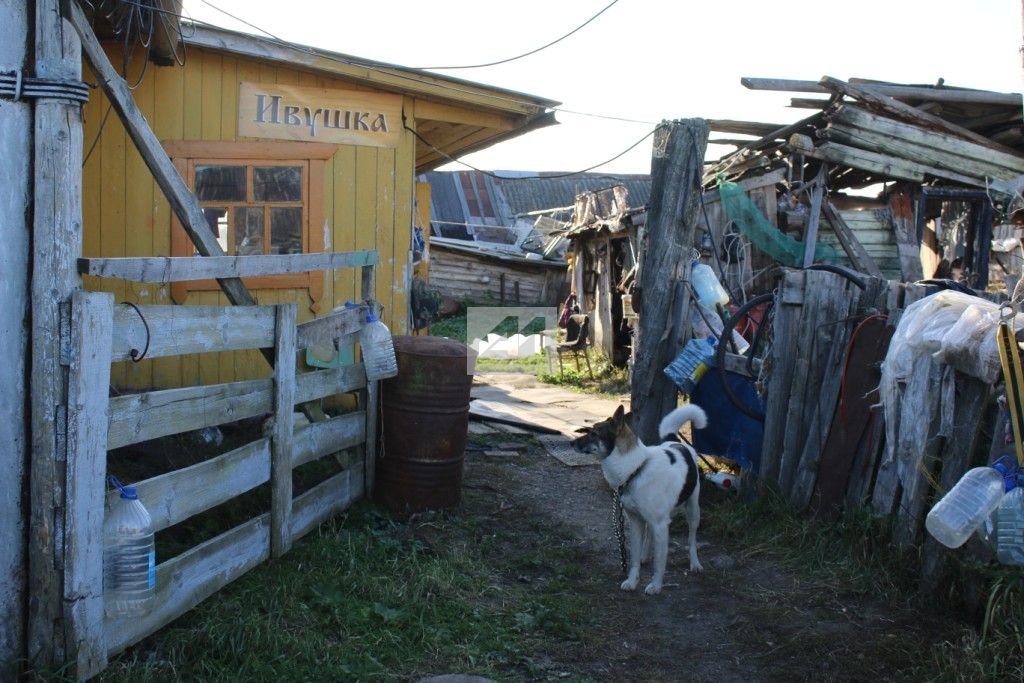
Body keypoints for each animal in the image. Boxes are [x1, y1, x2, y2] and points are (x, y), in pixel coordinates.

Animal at [573, 405, 708, 593]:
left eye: (594, 433)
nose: (570, 443)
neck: (636, 469)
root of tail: (677, 442)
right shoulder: (636, 522)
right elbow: (634, 559)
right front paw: (632, 581)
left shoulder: (661, 525)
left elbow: (659, 562)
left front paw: (656, 586)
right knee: (649, 535)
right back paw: (645, 556)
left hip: (693, 511)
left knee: (692, 539)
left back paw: (695, 563)